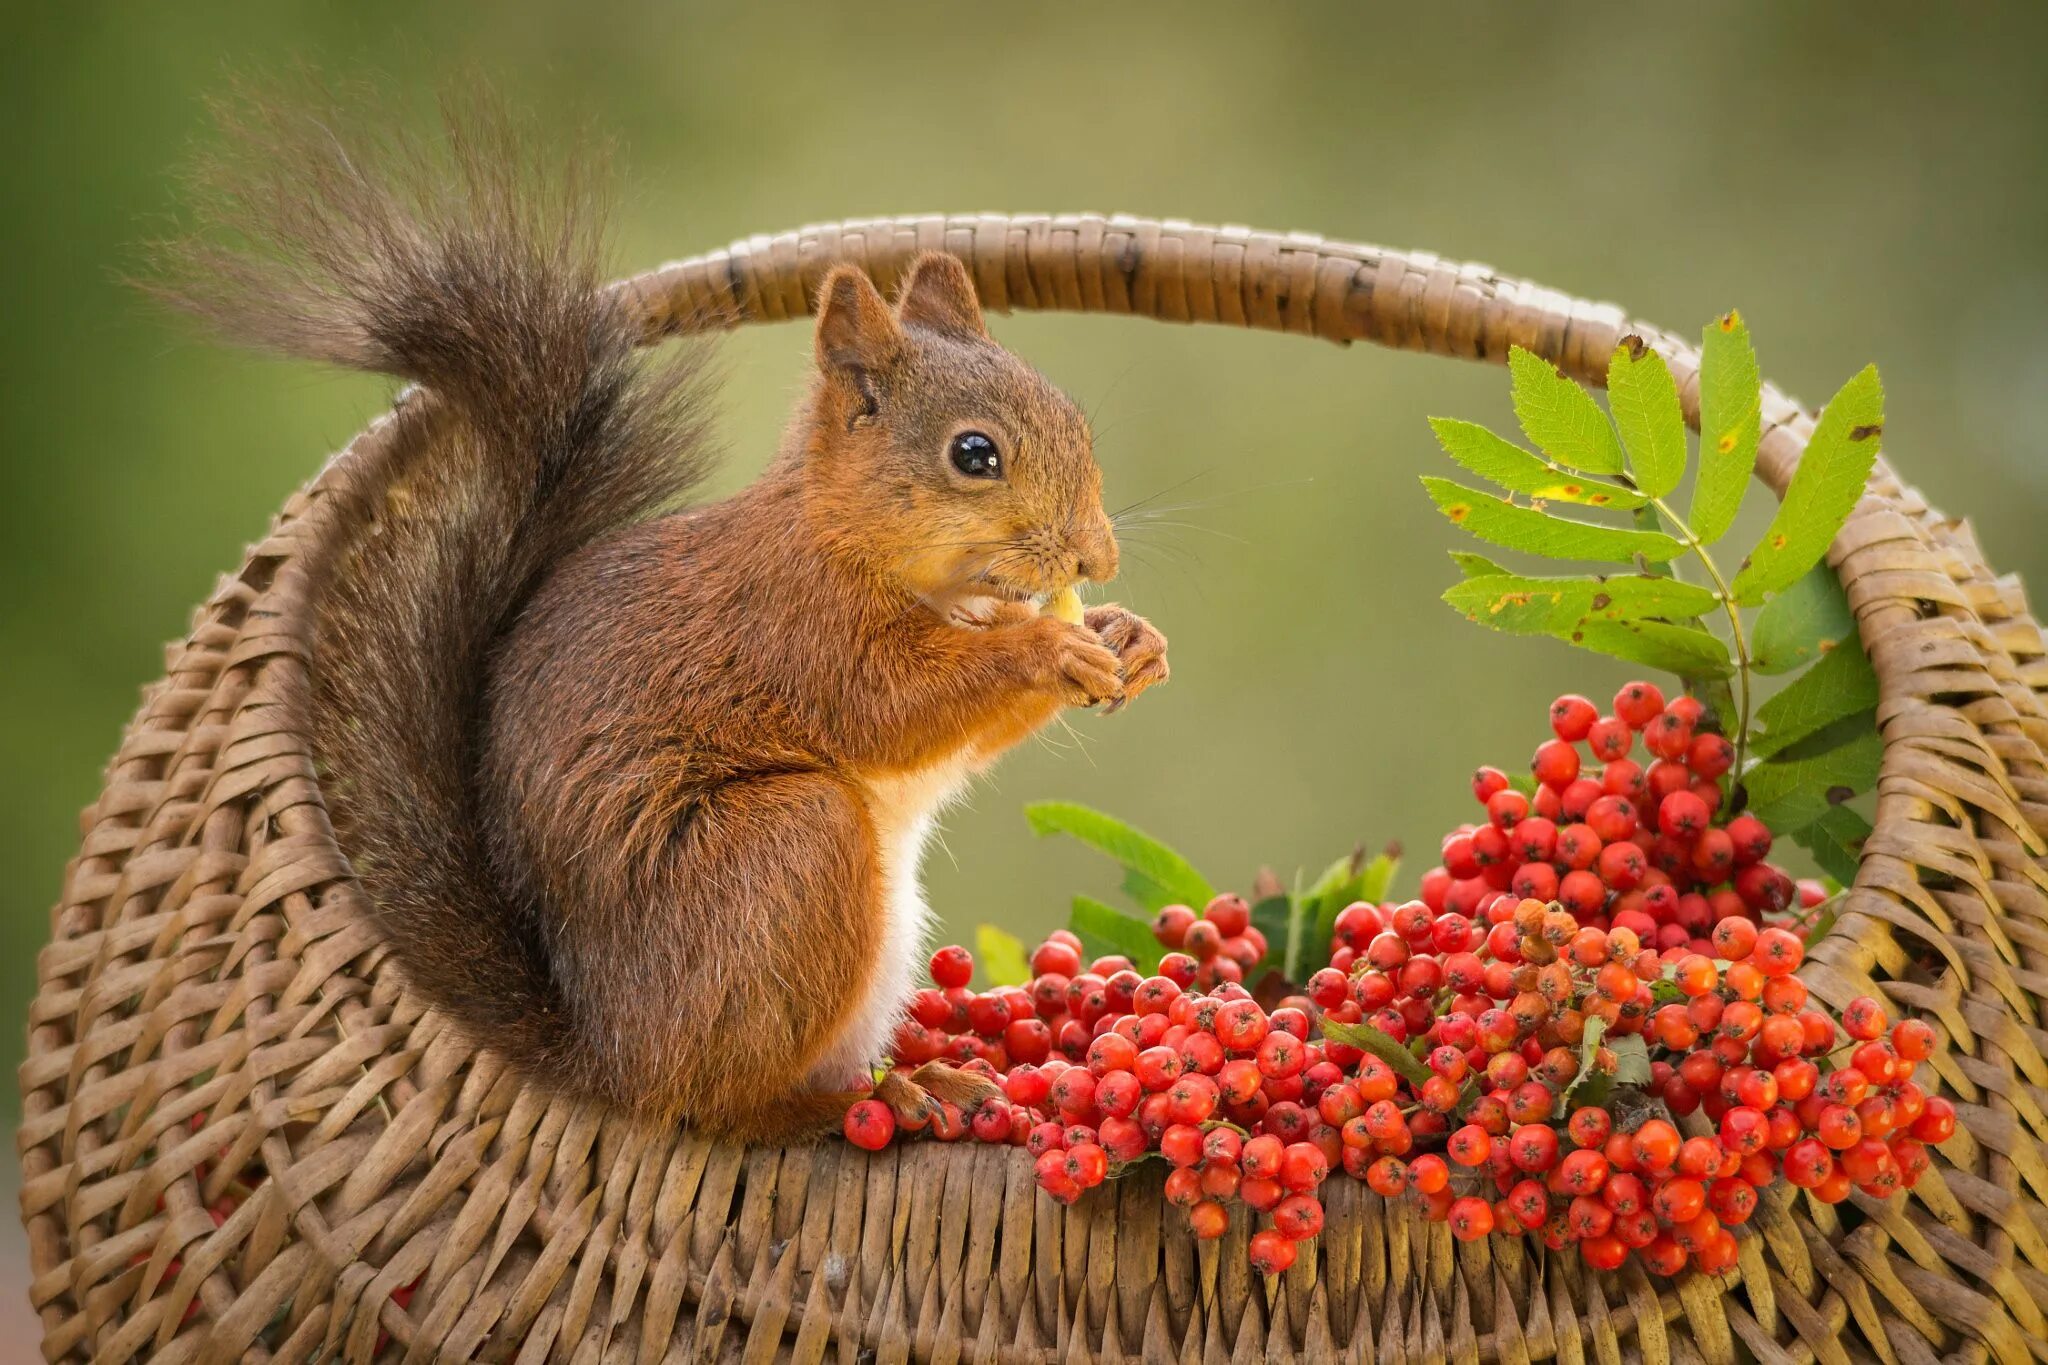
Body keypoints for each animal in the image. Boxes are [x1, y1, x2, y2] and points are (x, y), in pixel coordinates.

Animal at [159, 98, 1171, 1146]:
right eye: (973, 454)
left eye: (1075, 421)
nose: (1097, 558)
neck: (862, 546)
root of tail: (610, 1059)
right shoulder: (798, 628)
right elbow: (894, 707)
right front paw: (1048, 645)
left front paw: (1131, 637)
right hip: (781, 858)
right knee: (723, 1105)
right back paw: (869, 1097)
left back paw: (921, 1079)